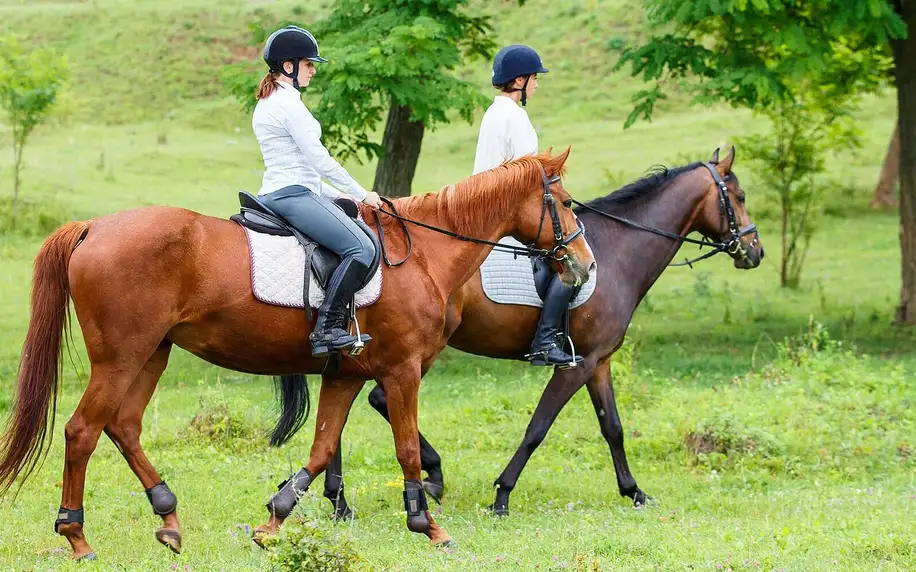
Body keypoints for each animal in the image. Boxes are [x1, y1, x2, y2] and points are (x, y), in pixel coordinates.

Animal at [0, 150, 592, 560]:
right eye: (565, 204)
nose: (584, 266)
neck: (423, 255)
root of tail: (93, 227)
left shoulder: (346, 375)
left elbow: (322, 448)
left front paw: (273, 521)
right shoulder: (401, 371)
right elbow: (404, 450)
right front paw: (429, 526)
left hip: (152, 354)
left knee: (122, 426)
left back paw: (168, 519)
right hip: (122, 357)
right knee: (82, 432)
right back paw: (76, 535)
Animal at [322, 146, 764, 520]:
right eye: (740, 196)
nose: (755, 251)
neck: (617, 253)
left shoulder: (598, 362)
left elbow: (613, 428)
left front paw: (634, 491)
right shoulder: (575, 365)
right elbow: (538, 427)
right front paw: (502, 494)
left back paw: (340, 498)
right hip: (414, 351)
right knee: (374, 400)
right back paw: (407, 482)